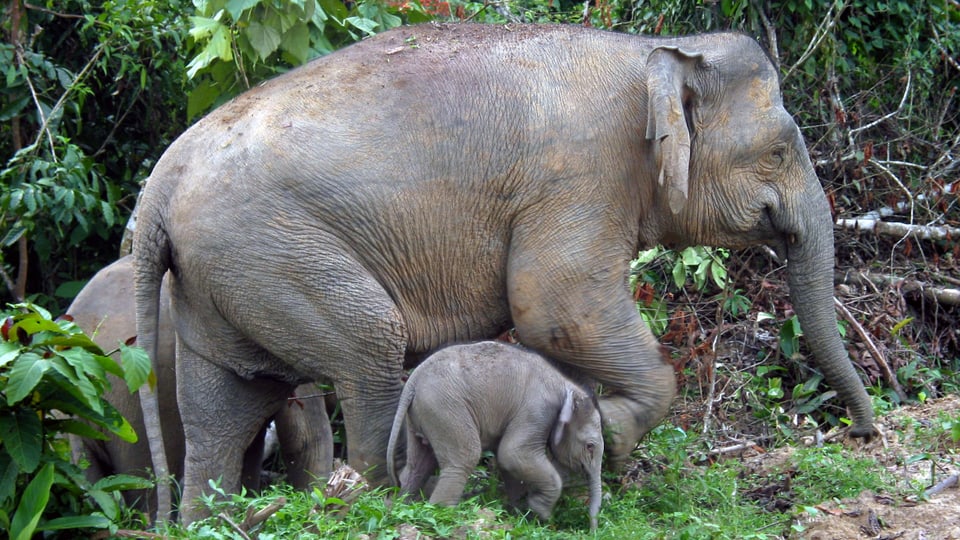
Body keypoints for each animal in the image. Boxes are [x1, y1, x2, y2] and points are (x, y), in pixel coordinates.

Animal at [386, 342, 604, 532]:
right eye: (590, 446)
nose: (591, 531)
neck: (566, 384)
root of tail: (413, 380)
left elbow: (507, 460)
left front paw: (519, 513)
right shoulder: (537, 411)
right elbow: (513, 453)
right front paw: (540, 512)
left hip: (421, 414)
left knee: (418, 464)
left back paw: (401, 504)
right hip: (444, 407)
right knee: (464, 458)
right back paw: (443, 515)